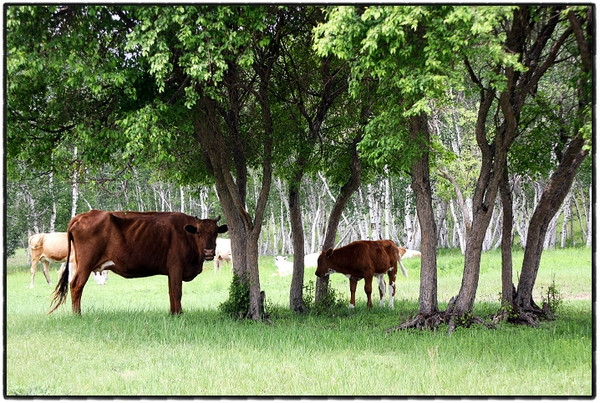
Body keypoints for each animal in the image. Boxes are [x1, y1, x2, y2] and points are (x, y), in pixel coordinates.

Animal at [48, 211, 227, 316]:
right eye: (198, 233)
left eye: (215, 233)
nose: (209, 252)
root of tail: (81, 216)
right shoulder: (176, 267)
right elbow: (177, 292)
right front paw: (179, 314)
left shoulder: (171, 271)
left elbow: (171, 292)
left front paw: (172, 313)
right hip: (85, 264)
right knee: (76, 285)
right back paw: (77, 314)